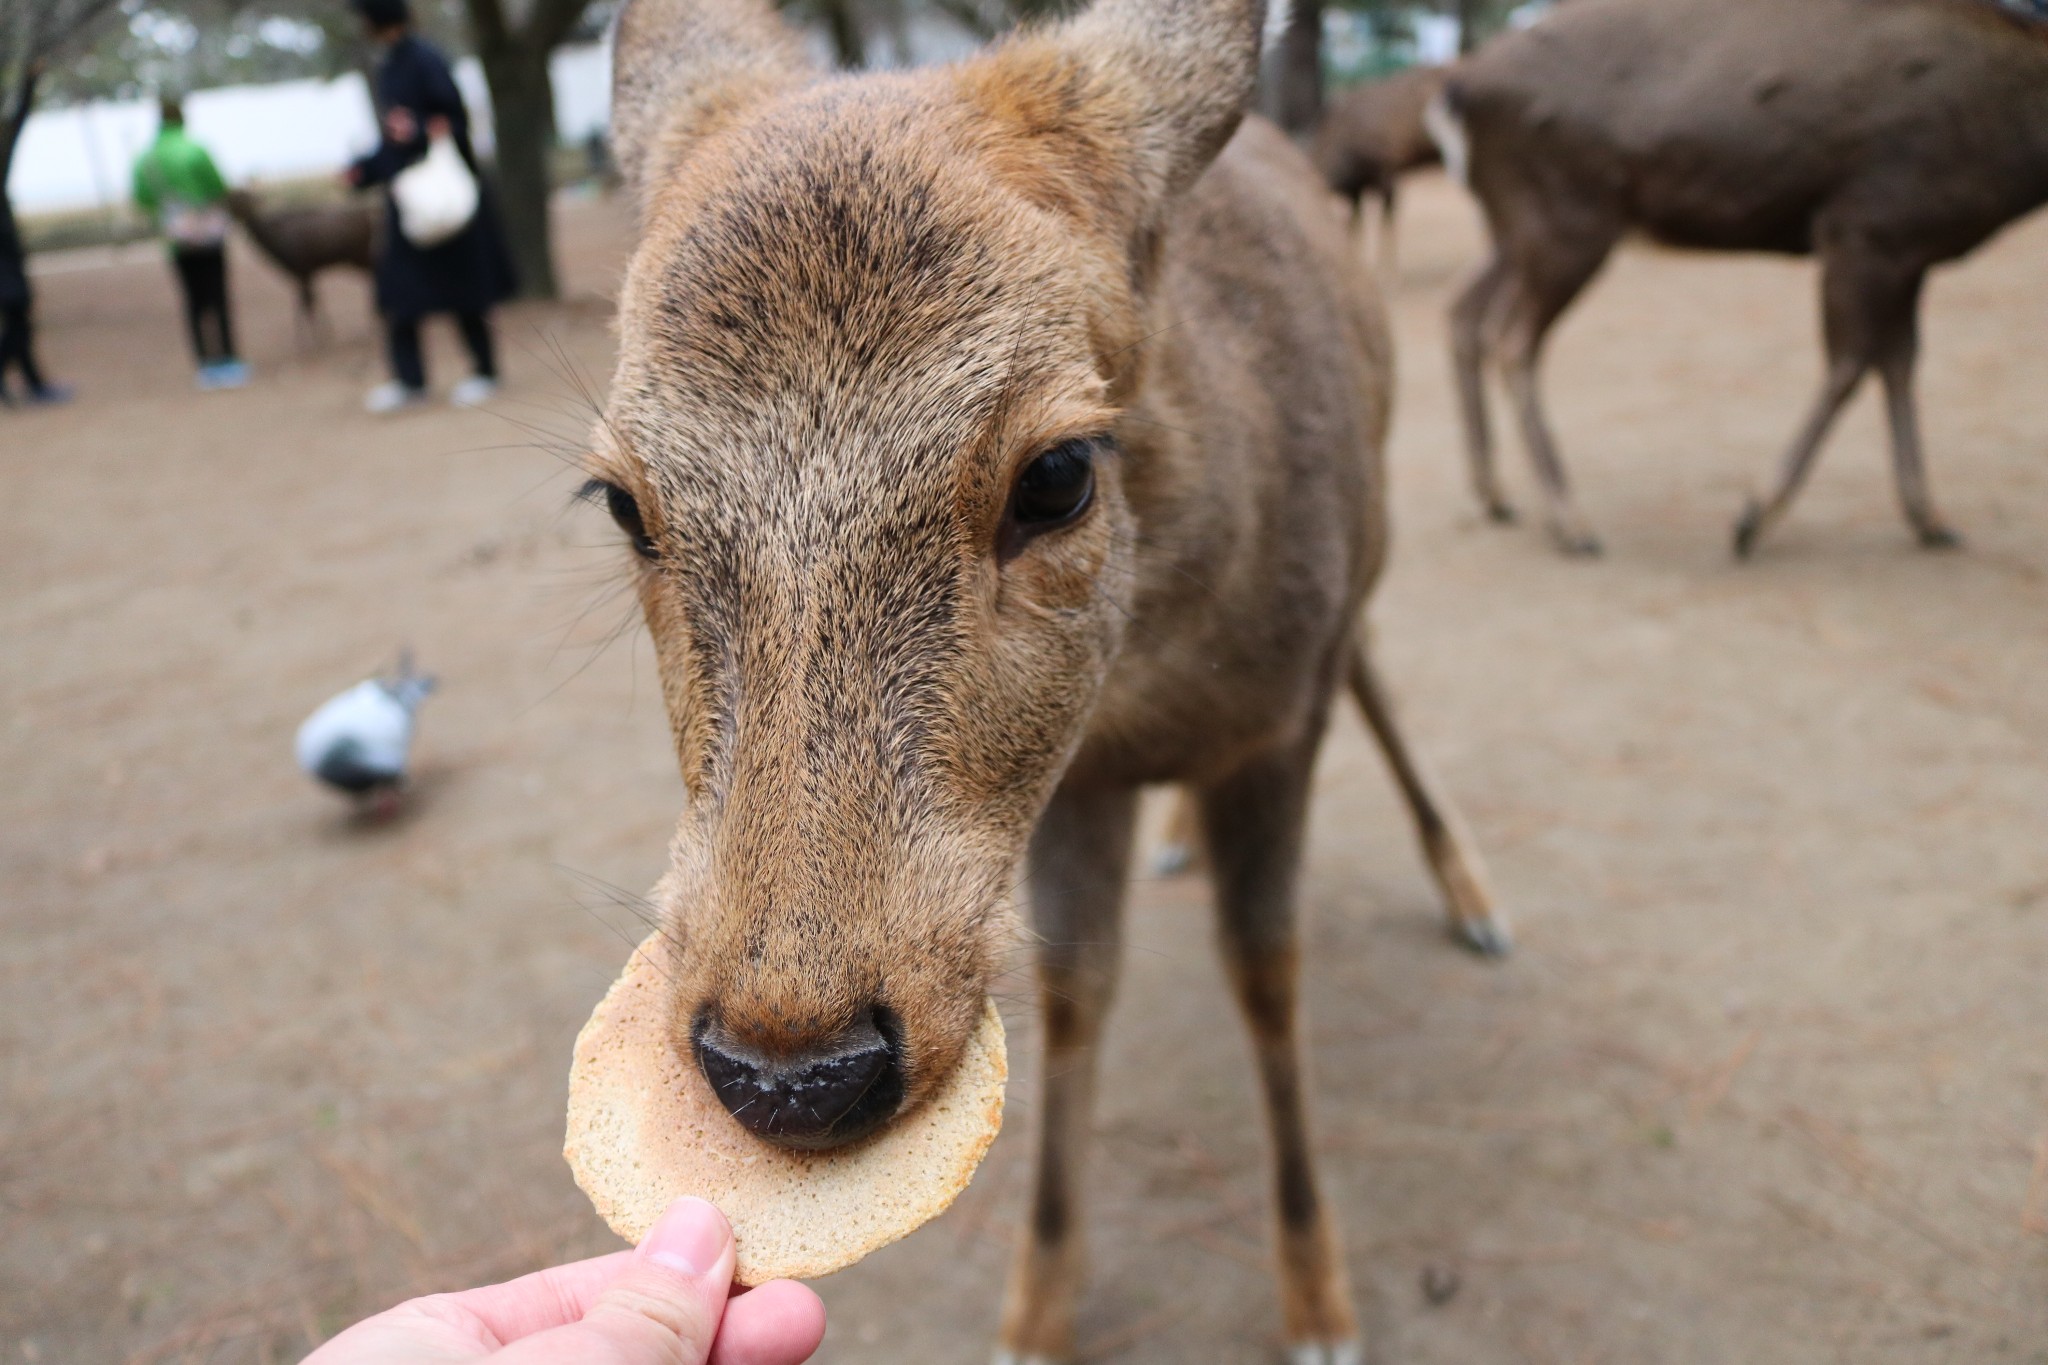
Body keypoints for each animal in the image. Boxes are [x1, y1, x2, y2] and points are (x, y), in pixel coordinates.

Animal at [589, 0, 1507, 1358]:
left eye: (1059, 472)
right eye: (619, 500)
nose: (791, 1069)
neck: (1161, 671)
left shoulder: (1278, 721)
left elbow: (1266, 974)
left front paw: (1320, 1304)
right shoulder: (1077, 782)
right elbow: (1077, 990)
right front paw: (1035, 1310)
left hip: (1374, 536)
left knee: (1377, 666)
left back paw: (1473, 896)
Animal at [1433, 0, 2048, 560]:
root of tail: (1457, 88)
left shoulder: (1913, 251)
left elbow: (1899, 364)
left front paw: (1932, 520)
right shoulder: (1865, 225)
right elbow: (1849, 366)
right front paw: (1751, 519)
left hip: (1515, 227)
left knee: (1464, 306)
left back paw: (1496, 495)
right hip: (1565, 216)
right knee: (1512, 339)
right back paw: (1571, 522)